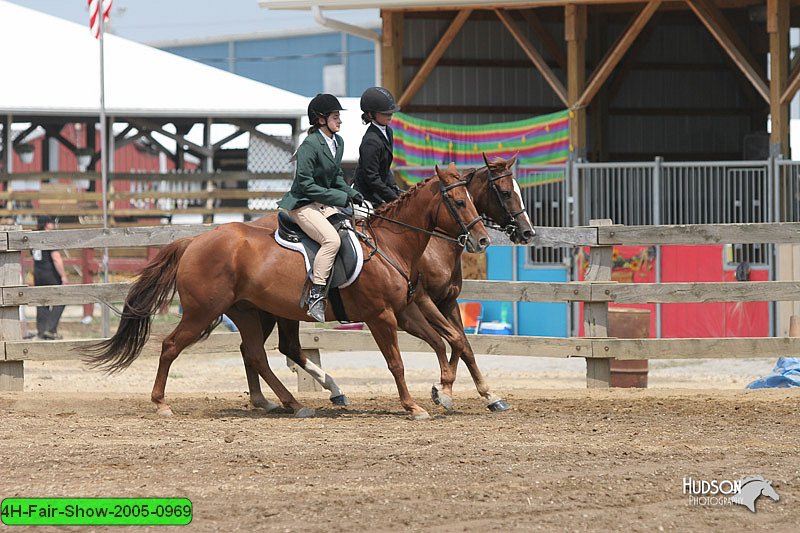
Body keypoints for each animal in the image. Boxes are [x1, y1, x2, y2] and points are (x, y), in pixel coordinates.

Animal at [86, 163, 488, 420]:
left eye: (473, 199)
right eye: (459, 202)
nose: (482, 240)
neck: (391, 243)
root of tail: (194, 241)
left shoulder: (404, 311)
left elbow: (441, 341)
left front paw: (443, 392)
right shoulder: (381, 316)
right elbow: (398, 362)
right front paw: (415, 406)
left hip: (250, 311)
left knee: (255, 354)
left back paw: (288, 403)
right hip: (203, 311)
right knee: (172, 346)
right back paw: (162, 404)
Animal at [238, 154, 536, 412]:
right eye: (505, 193)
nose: (527, 232)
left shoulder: (447, 302)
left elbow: (462, 344)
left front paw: (486, 395)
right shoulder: (423, 301)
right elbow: (454, 341)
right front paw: (443, 391)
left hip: (270, 309)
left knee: (263, 347)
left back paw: (276, 398)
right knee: (267, 348)